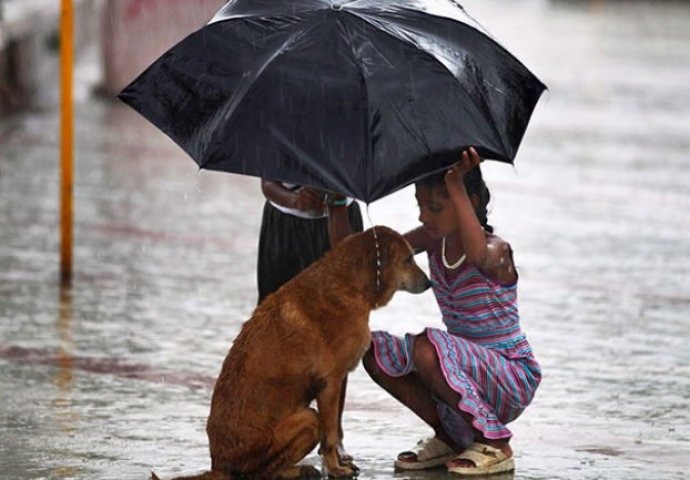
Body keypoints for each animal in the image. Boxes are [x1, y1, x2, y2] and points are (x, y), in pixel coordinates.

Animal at [153, 226, 428, 480]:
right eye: (408, 260)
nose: (429, 283)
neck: (349, 285)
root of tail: (218, 466)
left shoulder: (335, 383)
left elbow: (333, 433)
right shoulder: (330, 384)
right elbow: (330, 438)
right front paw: (335, 468)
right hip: (307, 419)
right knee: (260, 473)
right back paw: (299, 470)